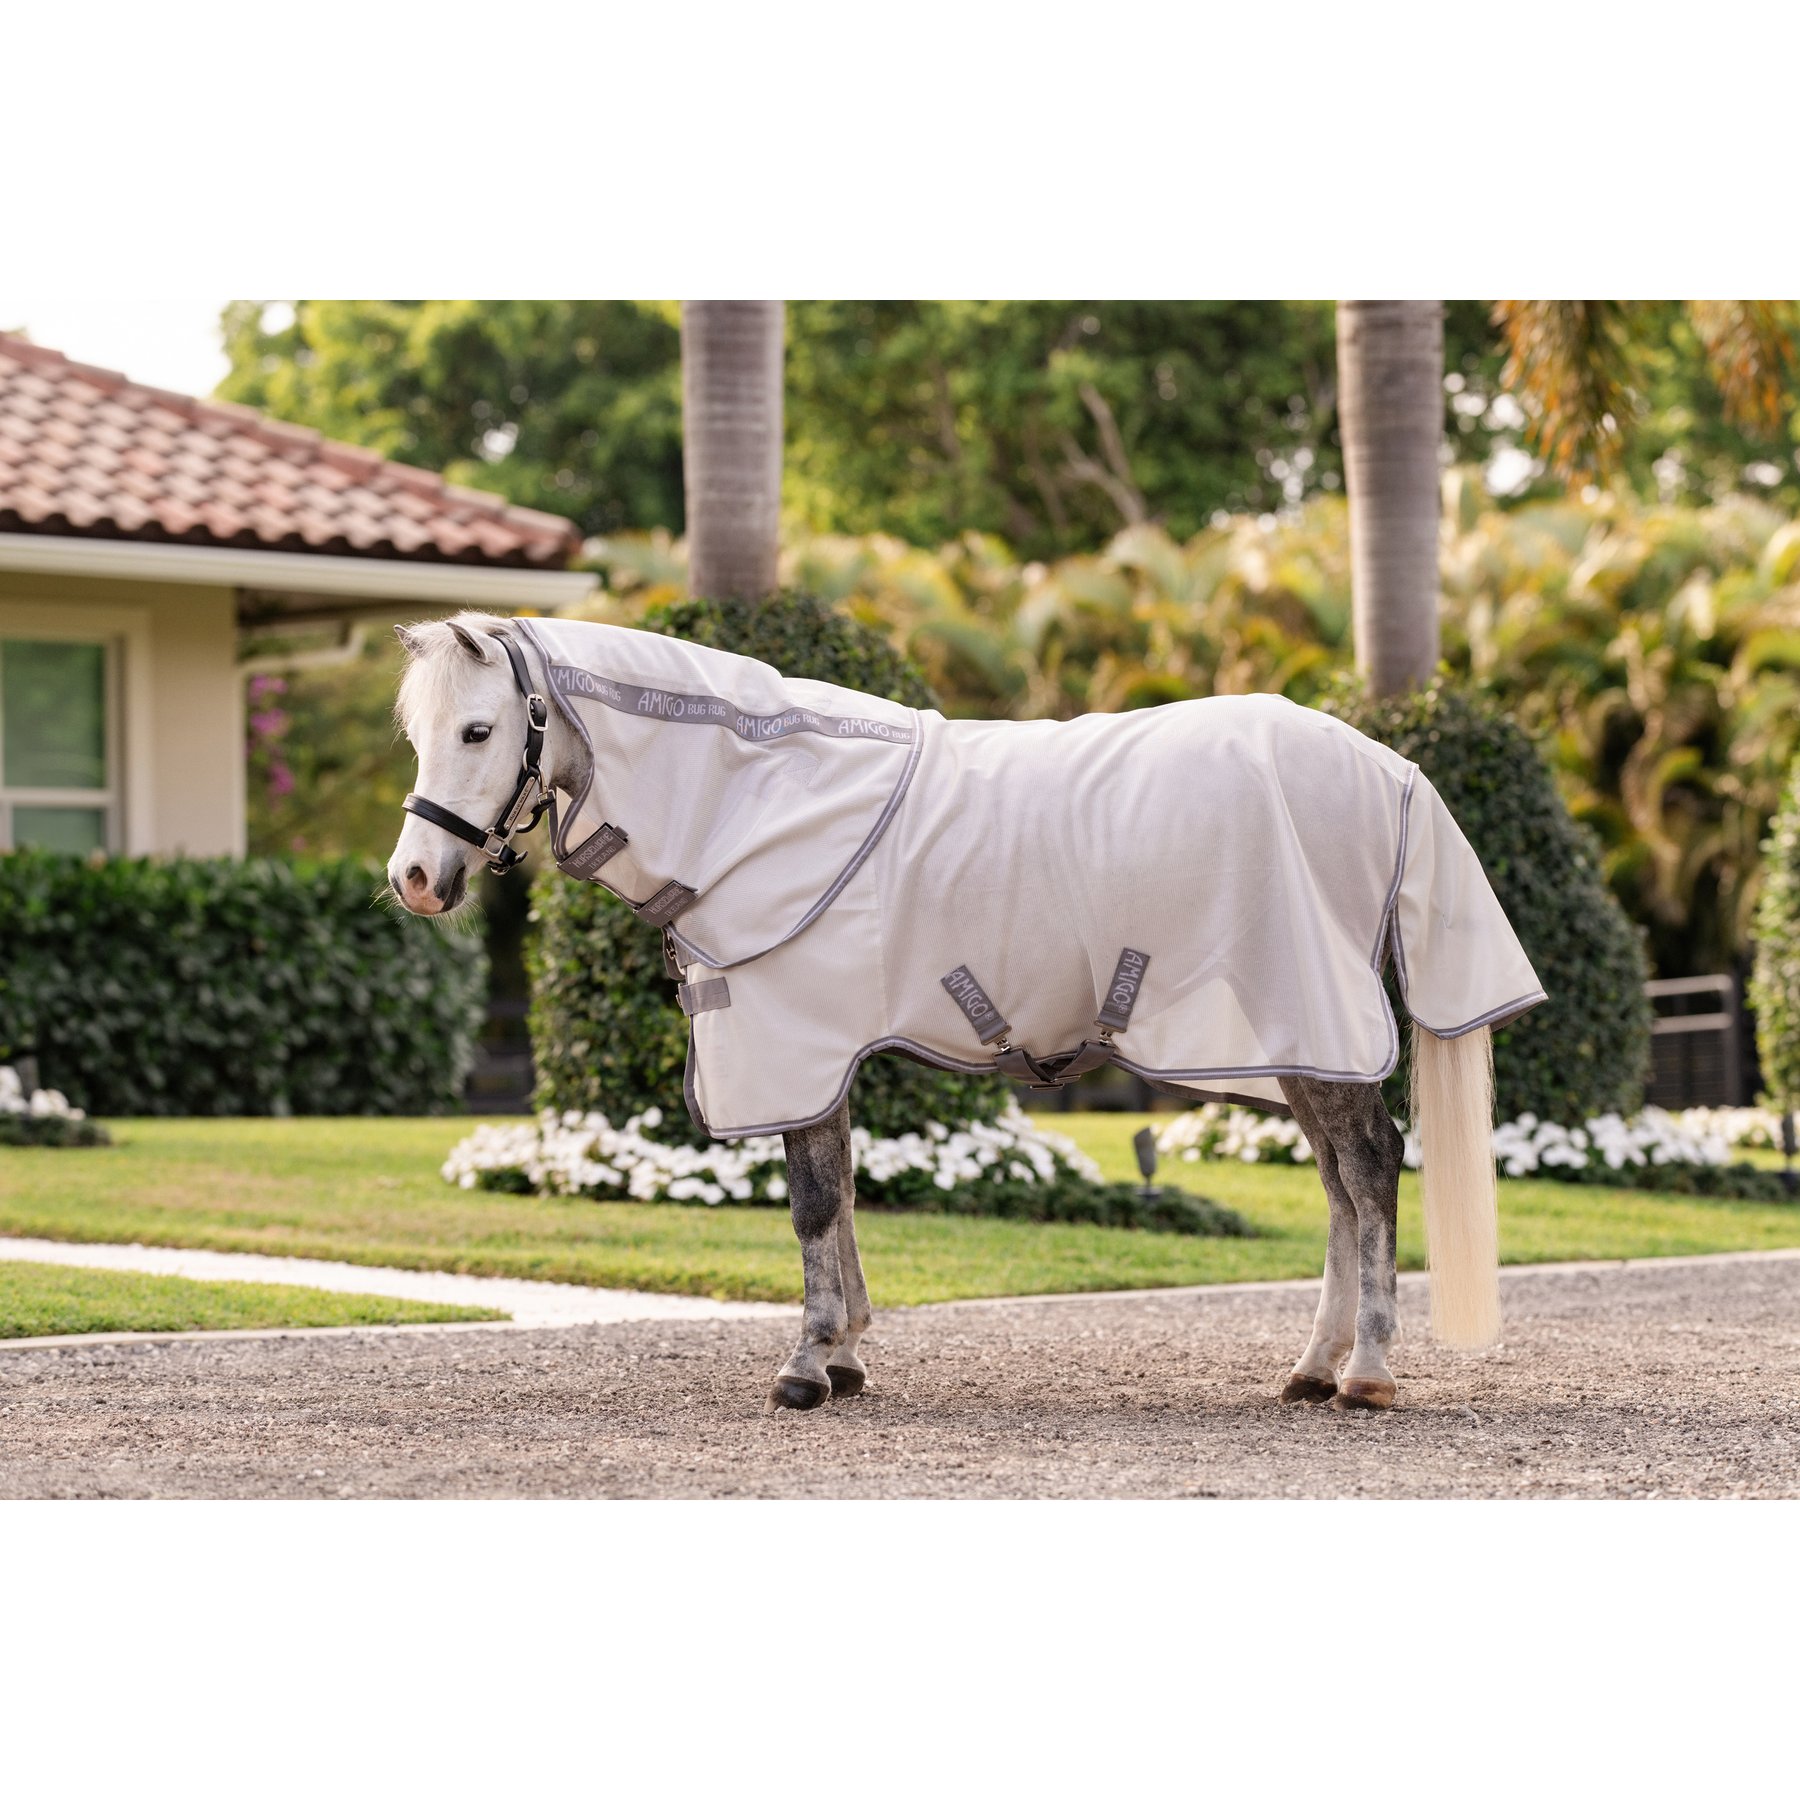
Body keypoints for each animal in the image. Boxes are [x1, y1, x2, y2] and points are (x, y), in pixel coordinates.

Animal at [388, 611, 1542, 1413]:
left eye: (479, 729)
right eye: (415, 731)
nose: (415, 879)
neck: (757, 795)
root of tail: (1386, 767)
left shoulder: (798, 1043)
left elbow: (813, 1204)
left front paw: (807, 1366)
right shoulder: (824, 1053)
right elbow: (843, 1194)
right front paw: (847, 1354)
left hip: (1313, 1025)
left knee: (1372, 1171)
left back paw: (1368, 1374)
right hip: (1297, 1043)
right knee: (1345, 1185)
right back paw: (1312, 1368)